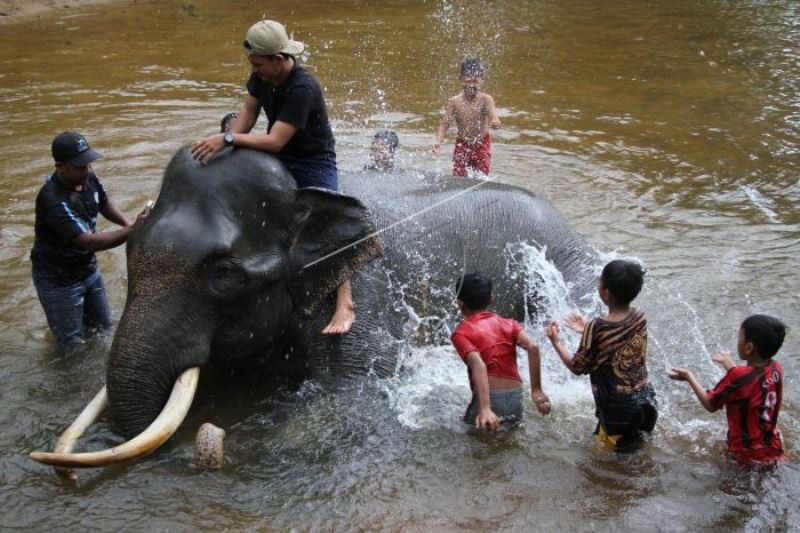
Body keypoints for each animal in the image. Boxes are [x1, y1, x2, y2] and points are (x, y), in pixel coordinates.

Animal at [29, 144, 592, 470]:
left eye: (223, 273)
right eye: (128, 249)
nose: (205, 440)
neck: (305, 193)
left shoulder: (362, 292)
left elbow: (351, 388)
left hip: (567, 264)